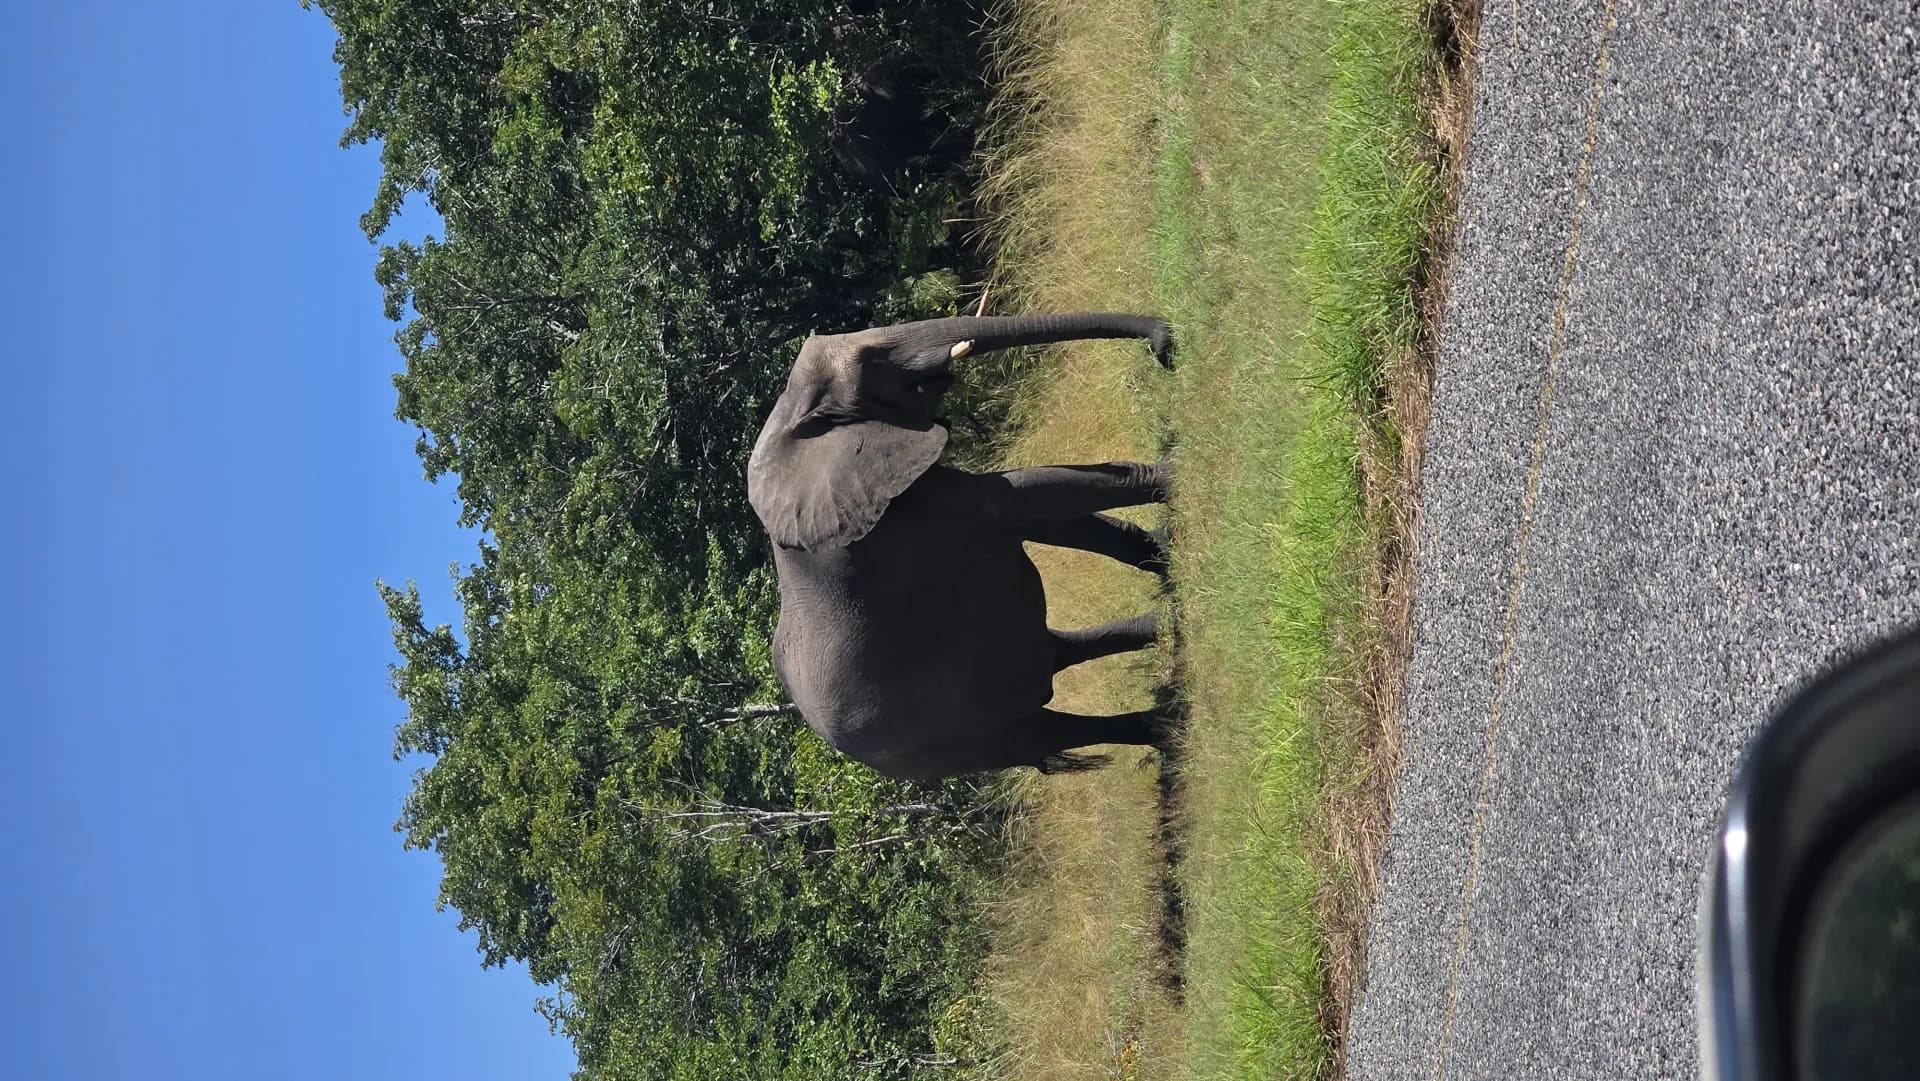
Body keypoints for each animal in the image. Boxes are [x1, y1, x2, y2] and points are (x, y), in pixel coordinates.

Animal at [746, 312, 1177, 780]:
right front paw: (1176, 475)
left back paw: (1164, 634)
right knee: (1045, 731)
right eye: (871, 366)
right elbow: (1023, 497)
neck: (785, 423)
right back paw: (1168, 725)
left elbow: (1053, 518)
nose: (1164, 349)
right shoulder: (899, 531)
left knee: (1056, 652)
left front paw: (1167, 555)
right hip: (934, 747)